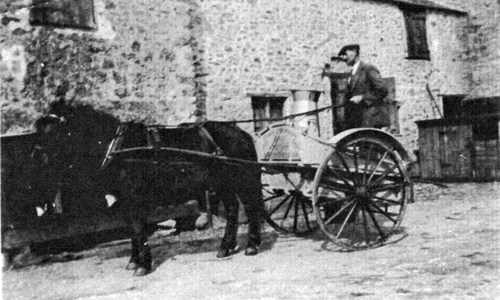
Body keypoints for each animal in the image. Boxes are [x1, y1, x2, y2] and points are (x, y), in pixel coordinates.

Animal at [33, 101, 264, 276]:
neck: (118, 148)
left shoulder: (135, 197)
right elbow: (132, 229)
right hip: (224, 184)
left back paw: (252, 246)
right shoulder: (124, 200)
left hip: (244, 181)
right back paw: (225, 247)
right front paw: (133, 261)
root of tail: (240, 132)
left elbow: (138, 228)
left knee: (252, 208)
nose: (36, 158)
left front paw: (142, 265)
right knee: (233, 210)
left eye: (54, 130)